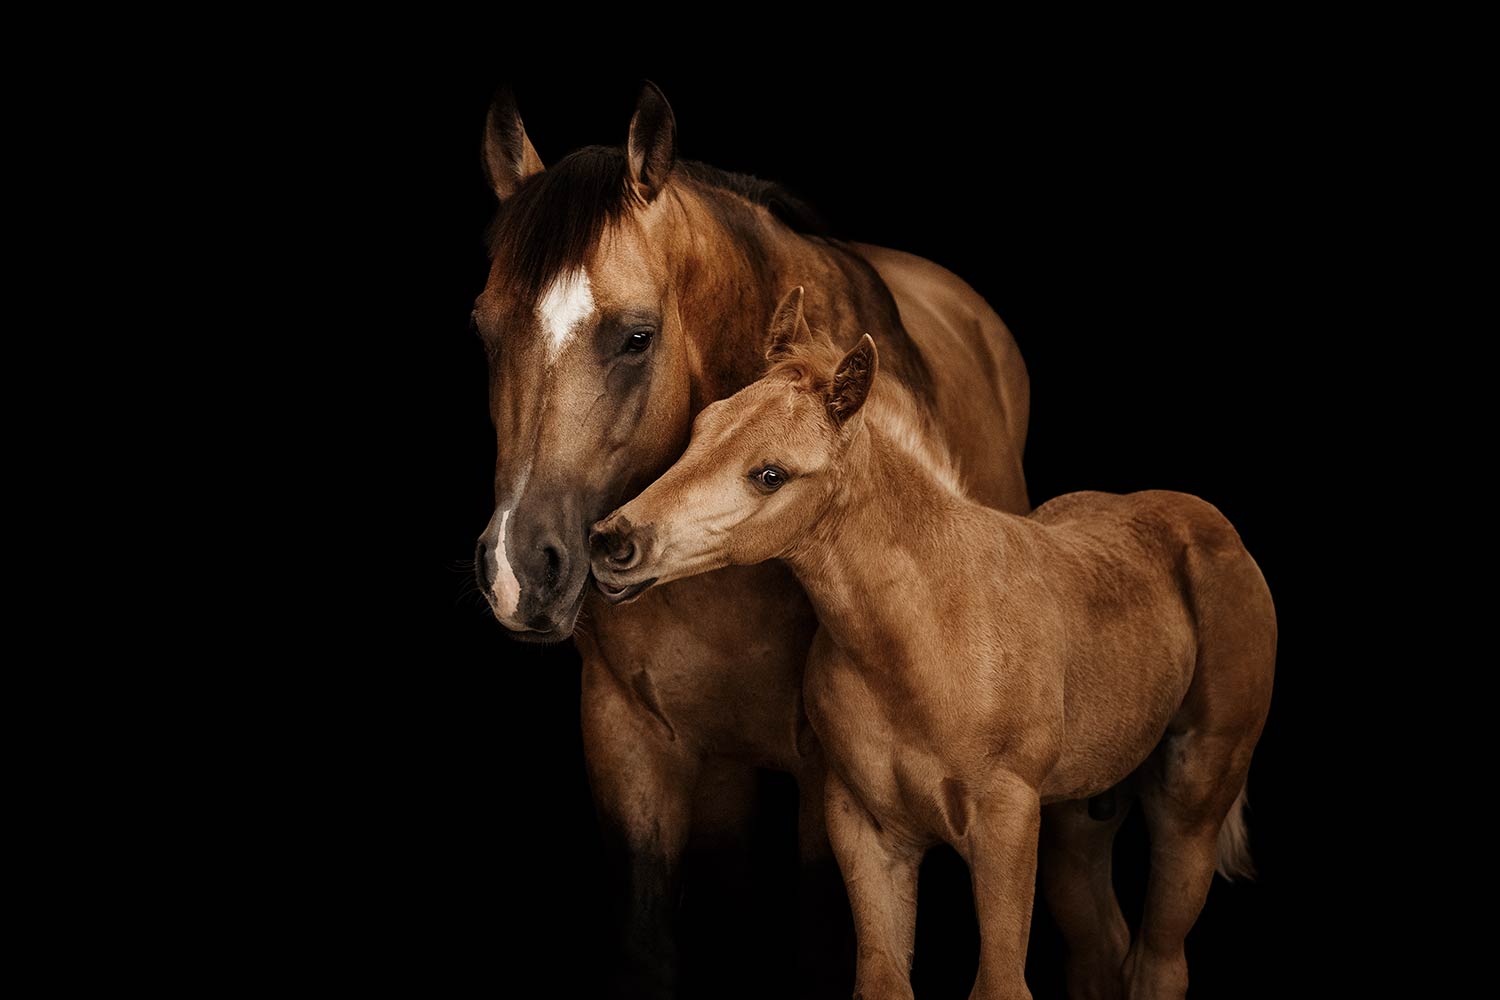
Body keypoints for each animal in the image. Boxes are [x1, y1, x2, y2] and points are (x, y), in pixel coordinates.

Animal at [471, 83, 1029, 996]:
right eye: (484, 329)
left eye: (637, 335)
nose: (521, 570)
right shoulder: (626, 741)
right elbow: (652, 943)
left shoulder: (830, 779)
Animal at [589, 288, 1277, 1000]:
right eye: (701, 427)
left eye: (770, 474)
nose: (613, 542)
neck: (924, 639)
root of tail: (1210, 526)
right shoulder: (867, 831)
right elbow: (883, 980)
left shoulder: (1005, 822)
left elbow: (1000, 983)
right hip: (1077, 816)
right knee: (1101, 950)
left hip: (1193, 799)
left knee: (1159, 959)